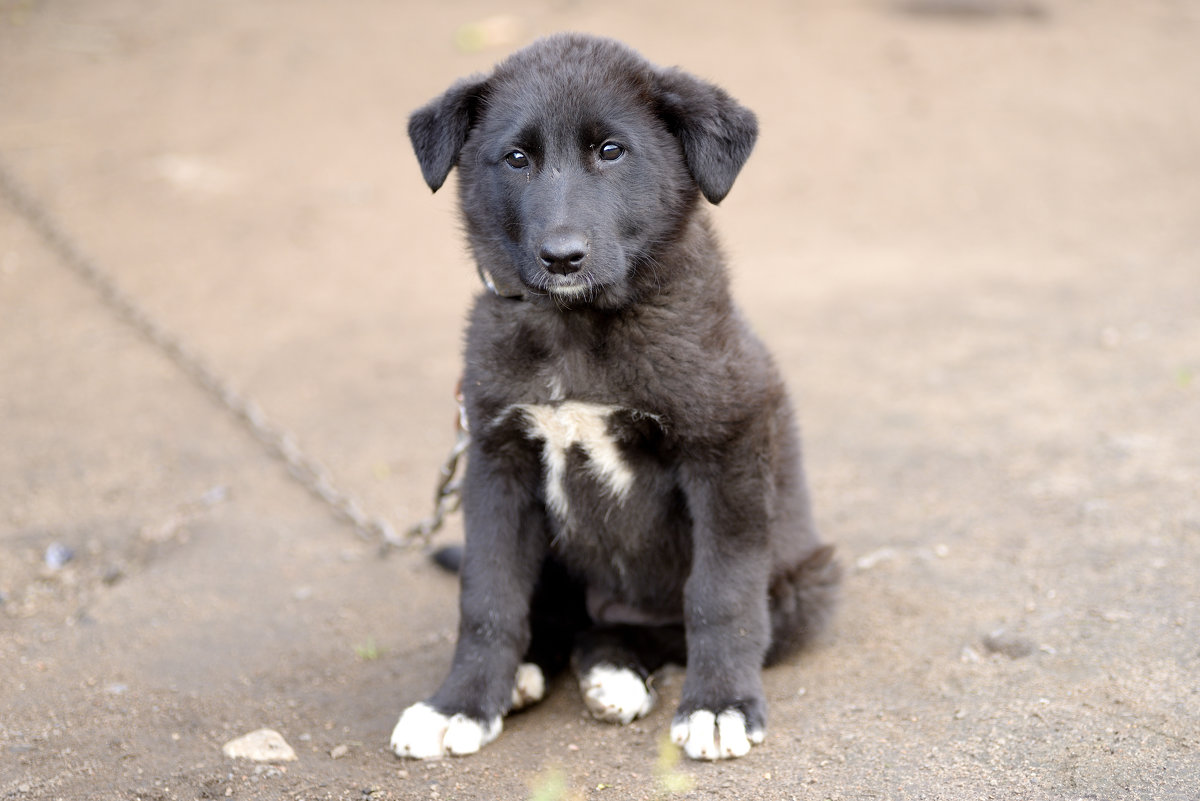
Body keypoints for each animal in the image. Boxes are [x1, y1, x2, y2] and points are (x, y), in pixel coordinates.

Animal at [388, 34, 840, 762]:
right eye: (516, 158)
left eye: (611, 151)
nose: (562, 257)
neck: (579, 329)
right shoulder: (497, 460)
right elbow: (487, 598)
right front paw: (458, 703)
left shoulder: (729, 446)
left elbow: (721, 593)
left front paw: (720, 705)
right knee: (561, 618)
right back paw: (534, 672)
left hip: (810, 578)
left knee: (641, 628)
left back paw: (615, 669)